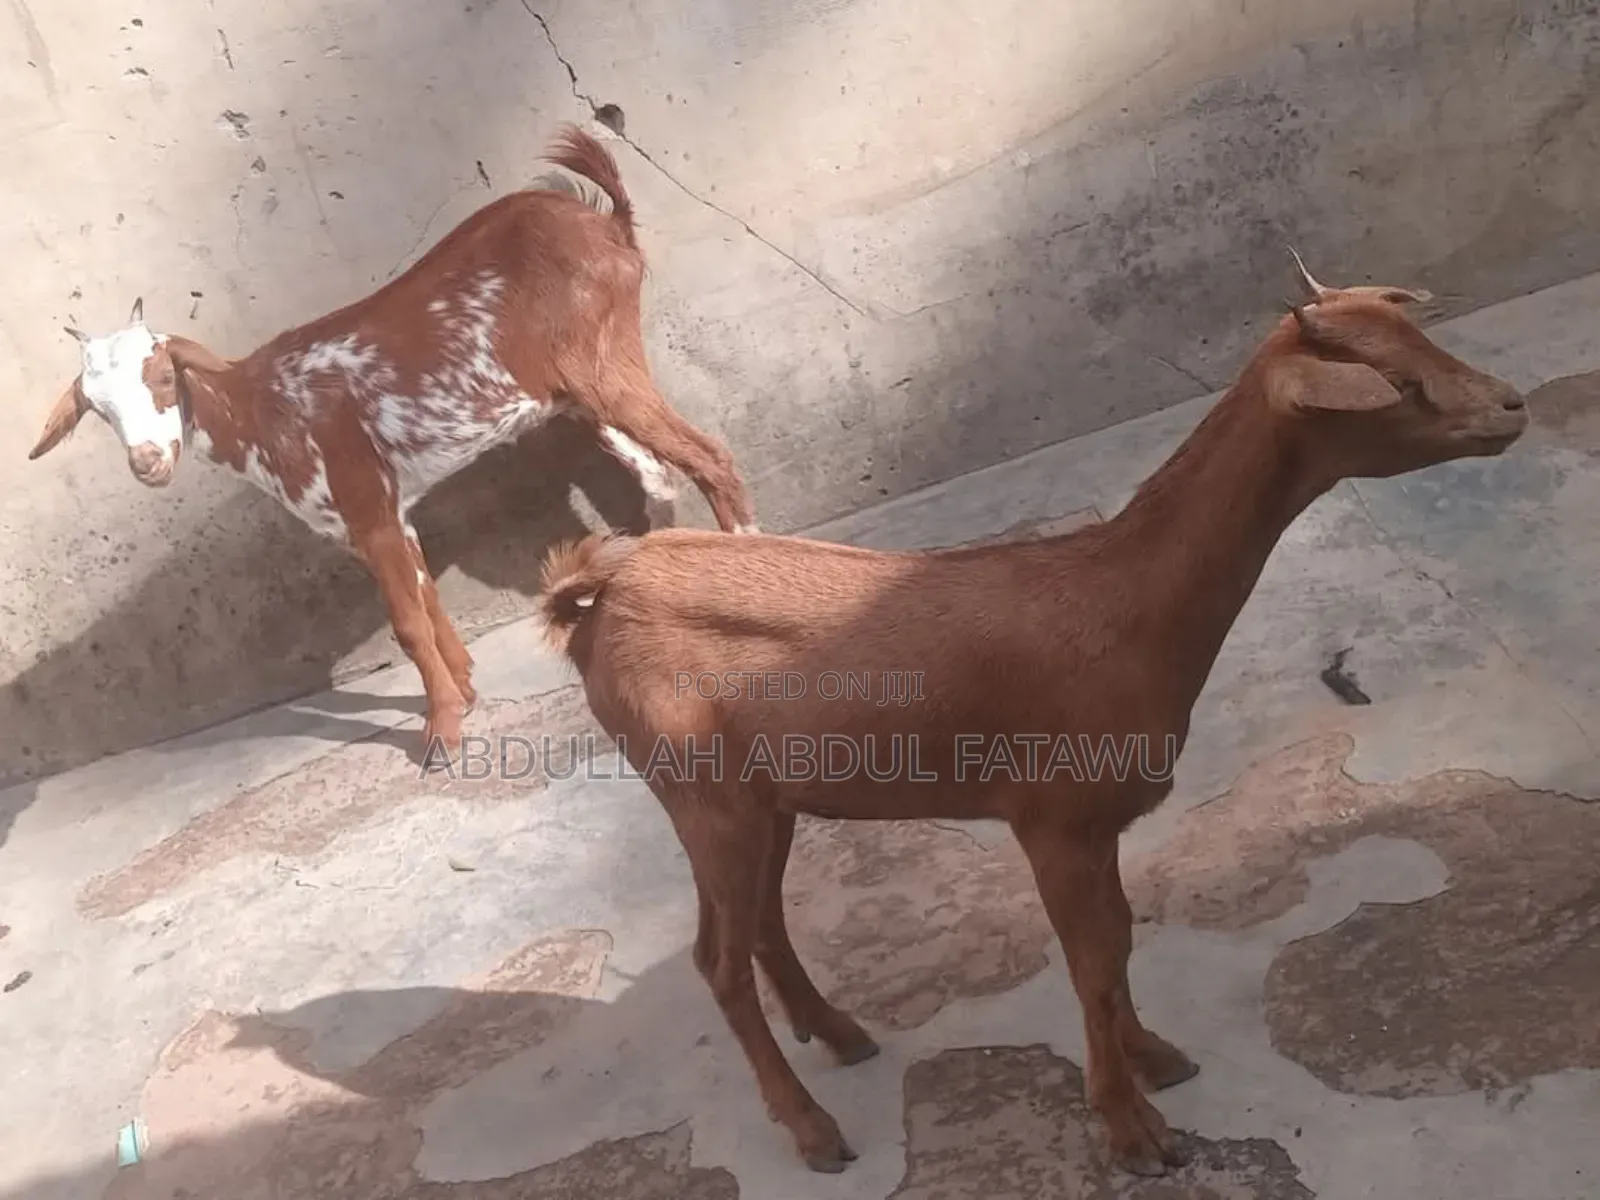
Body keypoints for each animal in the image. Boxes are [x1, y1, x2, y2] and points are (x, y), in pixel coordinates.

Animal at [26, 125, 757, 759]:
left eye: (160, 375)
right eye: (95, 409)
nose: (148, 463)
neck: (267, 408)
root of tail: (607, 223)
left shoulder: (365, 502)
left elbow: (407, 625)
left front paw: (441, 732)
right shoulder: (392, 510)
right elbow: (429, 604)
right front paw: (465, 690)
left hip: (604, 365)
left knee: (709, 458)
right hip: (582, 391)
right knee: (658, 479)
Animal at [535, 256, 1528, 1177]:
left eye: (1421, 340)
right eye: (1394, 384)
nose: (1513, 407)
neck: (1122, 607)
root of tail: (598, 593)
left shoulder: (1099, 822)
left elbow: (1117, 943)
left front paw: (1153, 1059)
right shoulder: (1052, 819)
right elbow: (1092, 964)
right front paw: (1132, 1129)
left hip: (761, 797)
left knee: (762, 926)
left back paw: (842, 1035)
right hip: (703, 793)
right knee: (718, 959)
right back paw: (815, 1131)